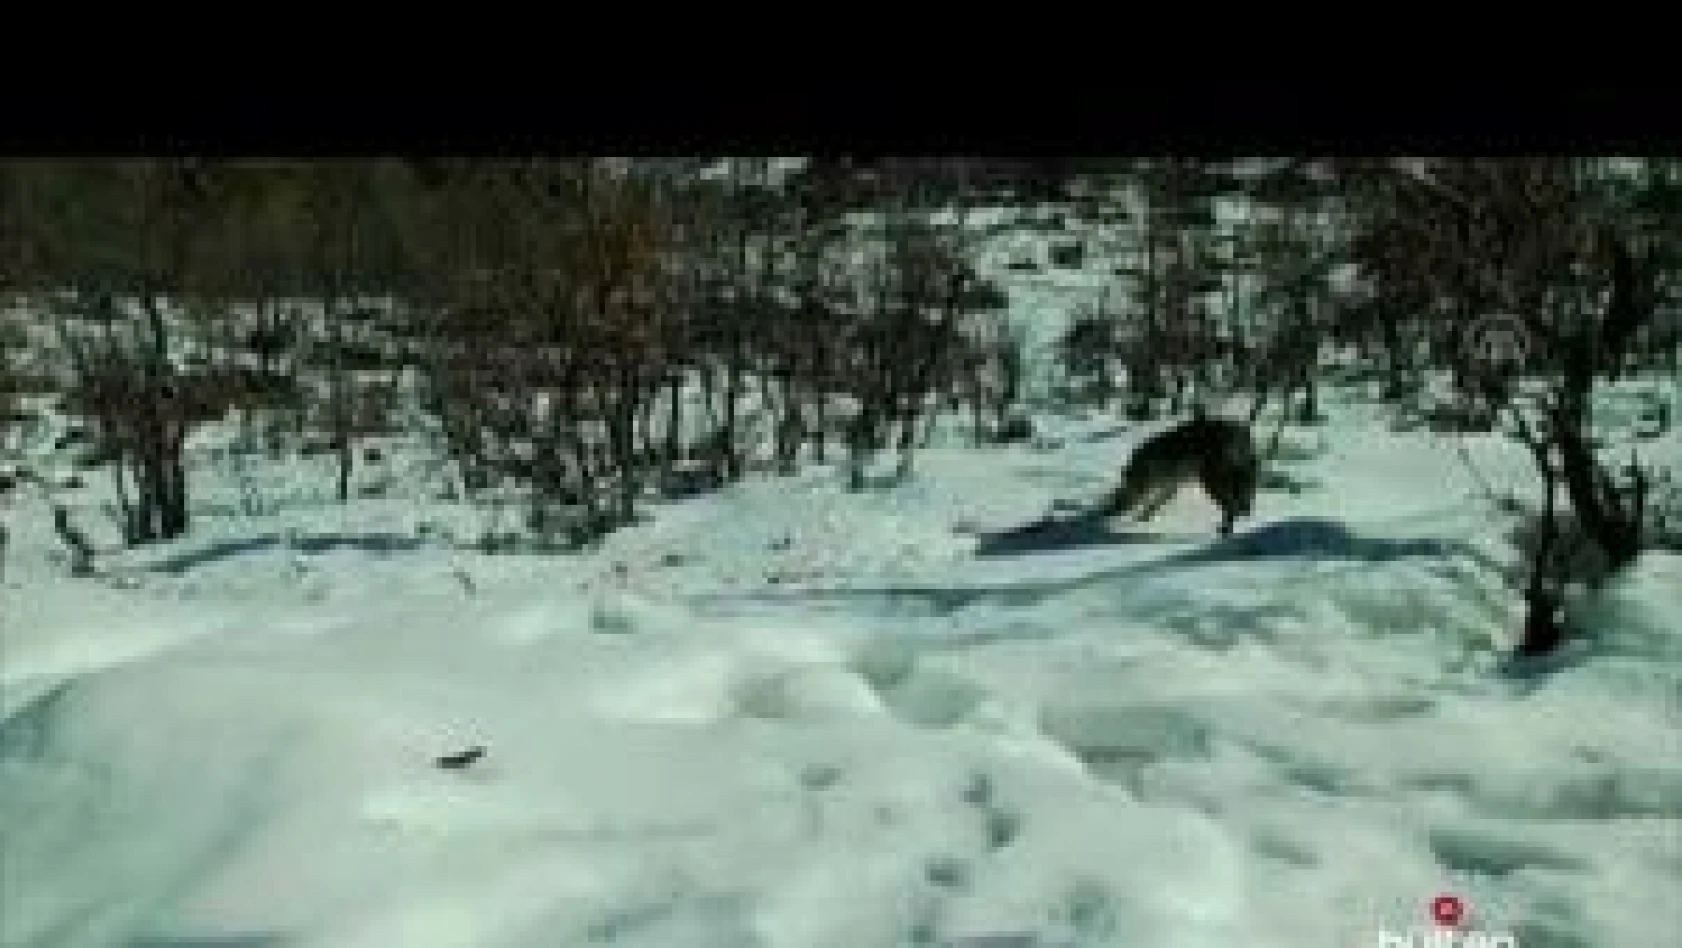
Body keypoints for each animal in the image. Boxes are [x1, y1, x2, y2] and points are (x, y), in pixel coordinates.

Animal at [1096, 413, 1258, 537]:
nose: (1111, 510)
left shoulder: (1163, 485)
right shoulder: (1170, 486)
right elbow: (1154, 504)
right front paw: (1142, 517)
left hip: (1211, 480)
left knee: (1231, 505)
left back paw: (1227, 527)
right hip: (1229, 479)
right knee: (1238, 502)